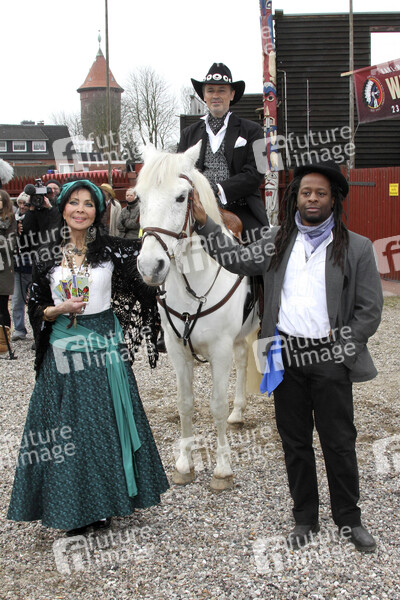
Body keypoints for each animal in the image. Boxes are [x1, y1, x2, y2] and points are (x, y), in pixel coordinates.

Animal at [136, 141, 260, 491]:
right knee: (243, 359)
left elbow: (216, 405)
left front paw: (222, 469)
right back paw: (239, 413)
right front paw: (184, 463)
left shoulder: (219, 350)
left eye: (181, 197)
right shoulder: (178, 351)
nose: (150, 267)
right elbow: (186, 404)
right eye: (138, 197)